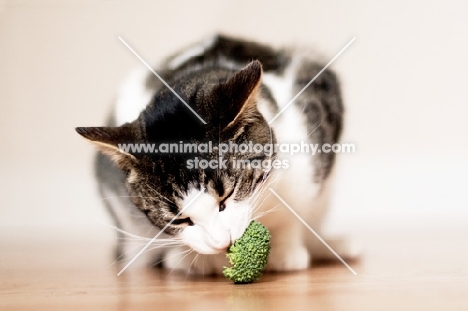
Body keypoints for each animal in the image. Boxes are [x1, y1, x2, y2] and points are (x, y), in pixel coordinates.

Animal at [77, 34, 354, 276]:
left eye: (226, 197)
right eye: (178, 220)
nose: (221, 242)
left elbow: (296, 210)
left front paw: (285, 252)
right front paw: (191, 261)